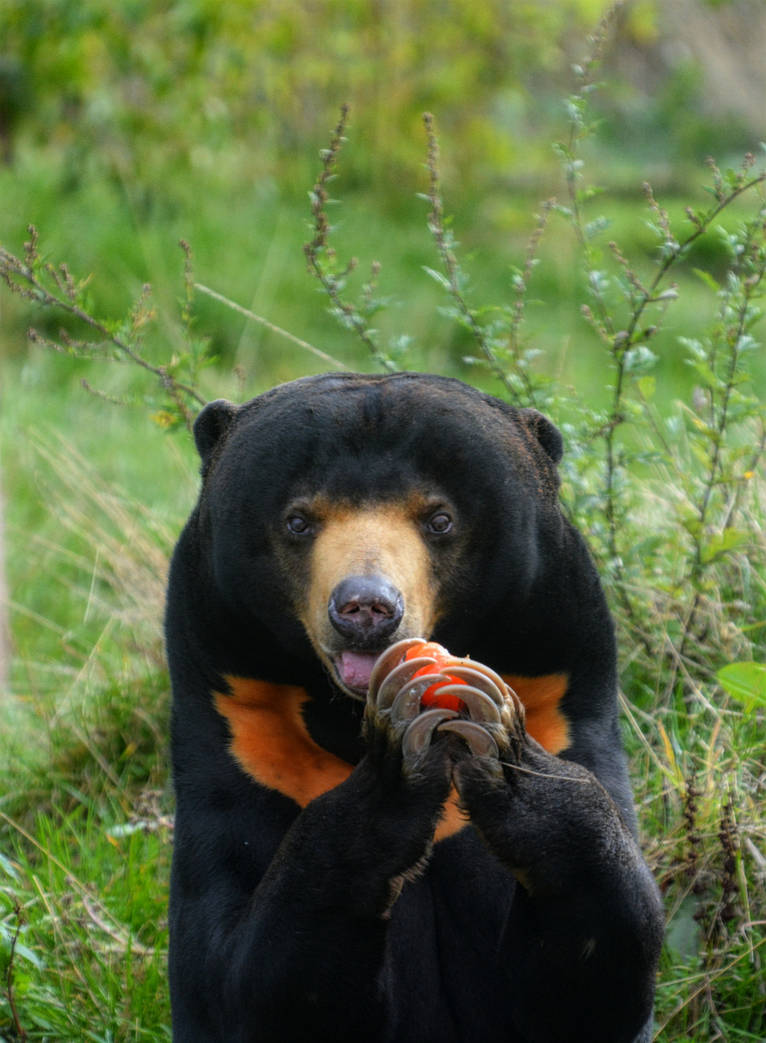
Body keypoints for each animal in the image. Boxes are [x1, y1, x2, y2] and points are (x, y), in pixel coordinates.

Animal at [165, 371, 664, 1043]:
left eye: (439, 520)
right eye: (298, 521)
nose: (365, 609)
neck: (341, 719)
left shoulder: (560, 688)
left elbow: (592, 976)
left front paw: (510, 760)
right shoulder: (238, 723)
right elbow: (235, 978)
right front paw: (397, 767)